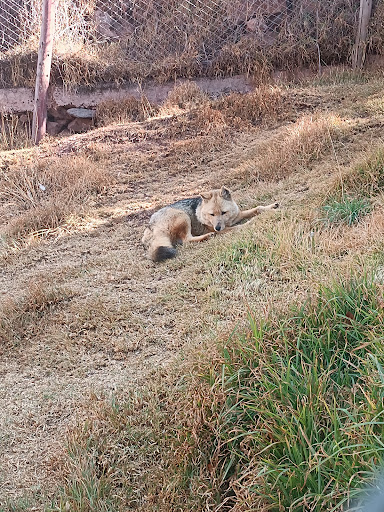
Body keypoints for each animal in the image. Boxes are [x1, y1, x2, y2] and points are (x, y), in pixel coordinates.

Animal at [141, 186, 280, 262]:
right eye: (212, 214)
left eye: (223, 212)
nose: (217, 228)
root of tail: (151, 225)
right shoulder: (225, 228)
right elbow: (241, 225)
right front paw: (255, 220)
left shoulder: (237, 215)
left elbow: (258, 208)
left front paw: (272, 207)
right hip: (183, 217)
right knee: (187, 240)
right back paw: (208, 236)